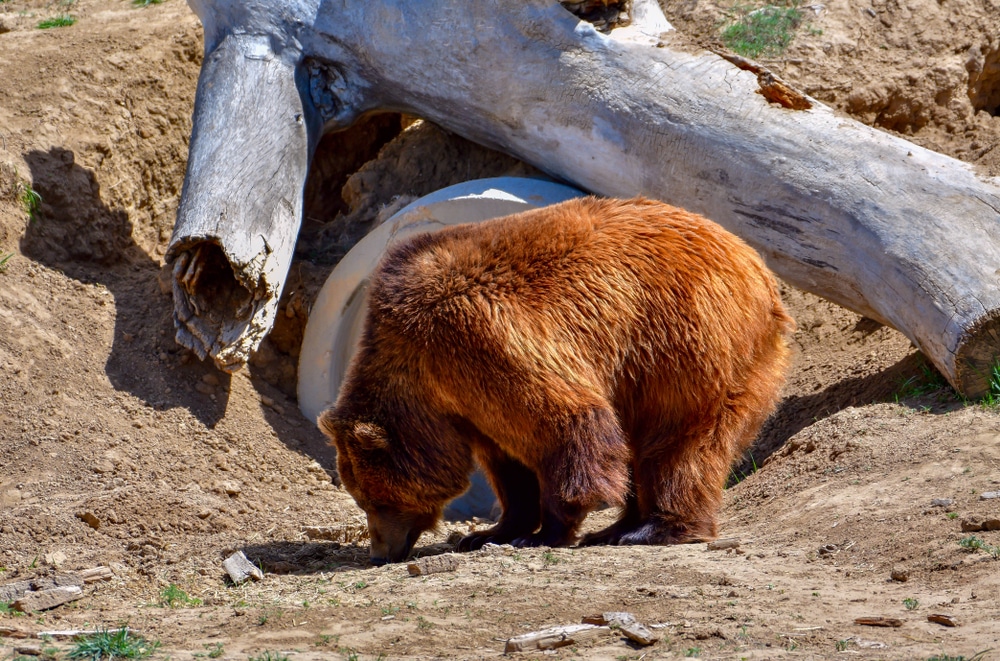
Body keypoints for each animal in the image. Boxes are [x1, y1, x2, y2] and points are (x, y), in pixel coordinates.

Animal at [316, 196, 792, 564]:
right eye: (362, 496)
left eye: (375, 498)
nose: (379, 553)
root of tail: (755, 265)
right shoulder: (467, 402)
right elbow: (507, 463)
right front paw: (489, 531)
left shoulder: (475, 336)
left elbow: (563, 423)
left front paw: (546, 531)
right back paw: (618, 527)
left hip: (686, 342)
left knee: (680, 441)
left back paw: (653, 529)